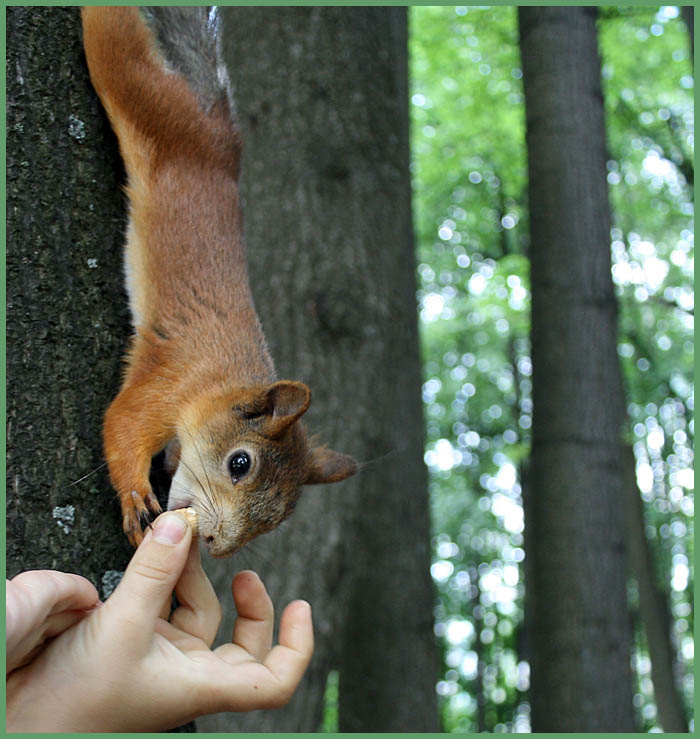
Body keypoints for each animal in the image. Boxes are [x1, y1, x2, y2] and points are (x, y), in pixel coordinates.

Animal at [81, 6, 356, 557]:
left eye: (279, 518)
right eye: (240, 463)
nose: (214, 543)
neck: (219, 384)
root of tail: (216, 126)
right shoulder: (168, 382)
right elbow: (121, 424)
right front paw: (135, 495)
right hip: (142, 92)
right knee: (114, 42)